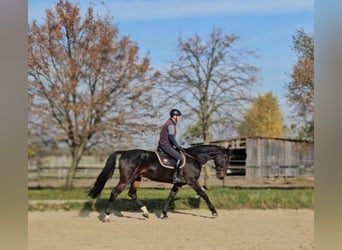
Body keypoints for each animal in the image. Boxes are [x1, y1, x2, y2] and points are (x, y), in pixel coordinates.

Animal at [88, 144, 230, 222]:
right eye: (226, 159)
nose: (221, 175)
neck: (194, 158)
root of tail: (125, 152)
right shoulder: (192, 181)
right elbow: (204, 194)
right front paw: (214, 212)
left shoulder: (178, 184)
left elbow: (171, 196)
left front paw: (164, 213)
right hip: (126, 179)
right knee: (114, 193)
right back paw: (106, 216)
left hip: (136, 178)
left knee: (132, 194)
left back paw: (145, 212)